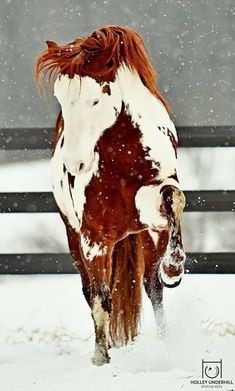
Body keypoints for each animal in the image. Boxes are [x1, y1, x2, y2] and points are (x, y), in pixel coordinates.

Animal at [35, 26, 185, 366]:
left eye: (95, 99)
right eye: (61, 98)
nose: (74, 164)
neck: (124, 158)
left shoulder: (153, 214)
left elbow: (173, 197)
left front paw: (175, 265)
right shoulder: (94, 238)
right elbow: (101, 297)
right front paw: (100, 357)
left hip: (143, 238)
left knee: (152, 288)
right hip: (75, 238)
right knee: (92, 291)